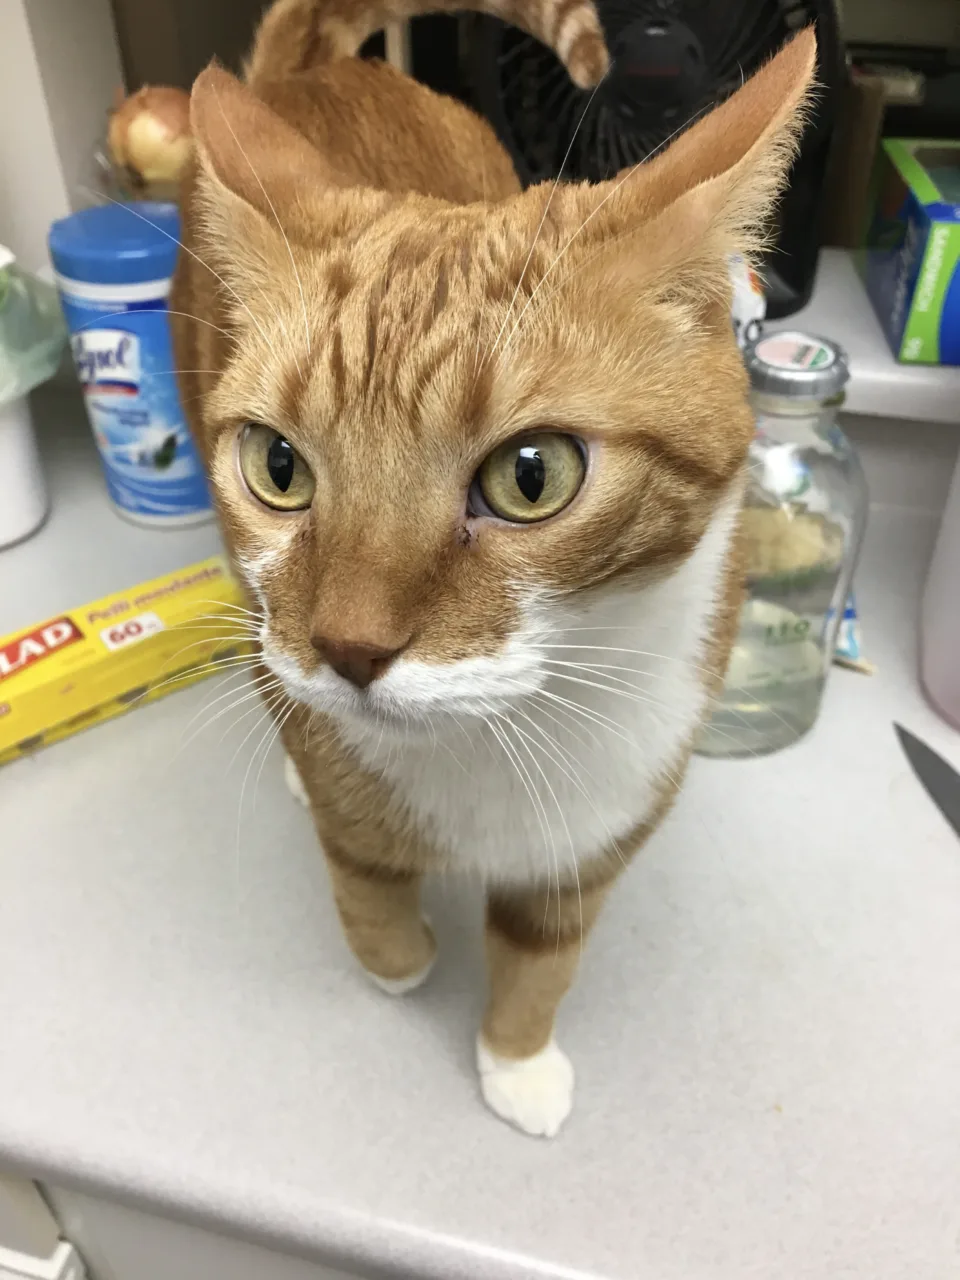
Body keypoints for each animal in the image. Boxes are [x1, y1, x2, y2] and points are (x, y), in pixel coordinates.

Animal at [171, 2, 814, 1141]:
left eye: (532, 475)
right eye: (280, 466)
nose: (347, 647)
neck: (497, 740)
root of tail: (315, 74)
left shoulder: (596, 843)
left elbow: (541, 962)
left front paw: (516, 1062)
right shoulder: (345, 801)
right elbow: (366, 883)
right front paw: (400, 966)